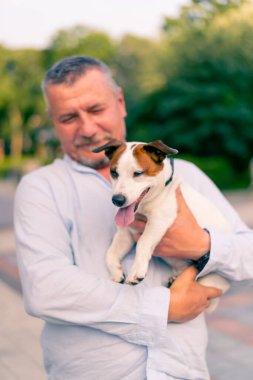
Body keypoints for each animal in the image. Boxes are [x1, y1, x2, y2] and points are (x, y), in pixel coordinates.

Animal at [93, 140, 231, 308]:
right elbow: (110, 253)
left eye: (137, 173)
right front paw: (116, 272)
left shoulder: (158, 222)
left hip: (210, 280)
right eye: (114, 173)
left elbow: (143, 242)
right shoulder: (125, 234)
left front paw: (136, 271)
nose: (117, 200)